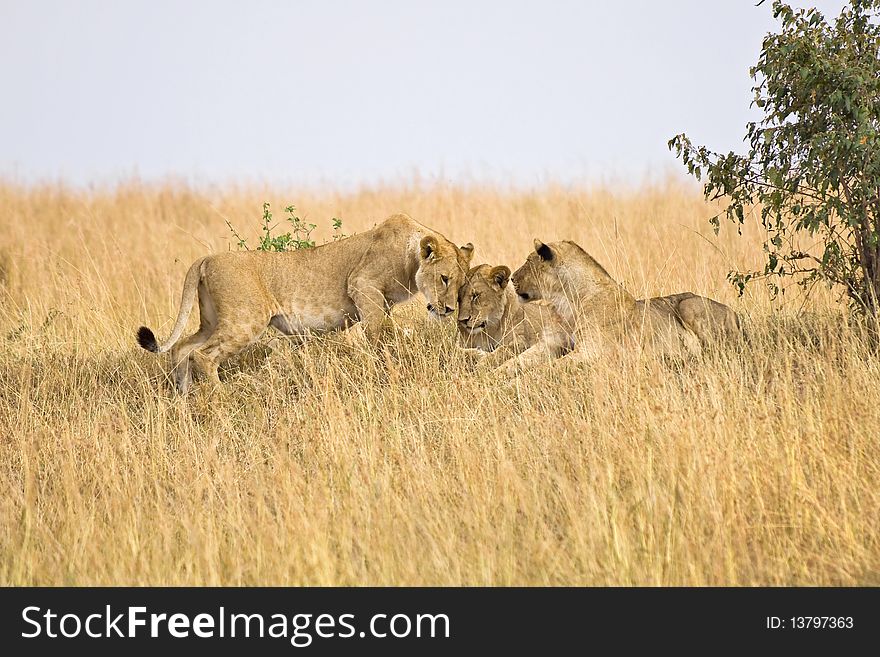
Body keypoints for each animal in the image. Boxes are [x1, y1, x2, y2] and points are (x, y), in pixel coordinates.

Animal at [138, 214, 474, 390]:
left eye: (461, 285)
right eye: (444, 278)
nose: (448, 309)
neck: (410, 255)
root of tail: (205, 258)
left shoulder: (382, 302)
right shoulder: (362, 285)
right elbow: (377, 335)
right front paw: (385, 368)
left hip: (213, 321)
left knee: (183, 348)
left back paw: (183, 399)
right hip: (245, 320)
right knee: (203, 355)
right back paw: (219, 397)